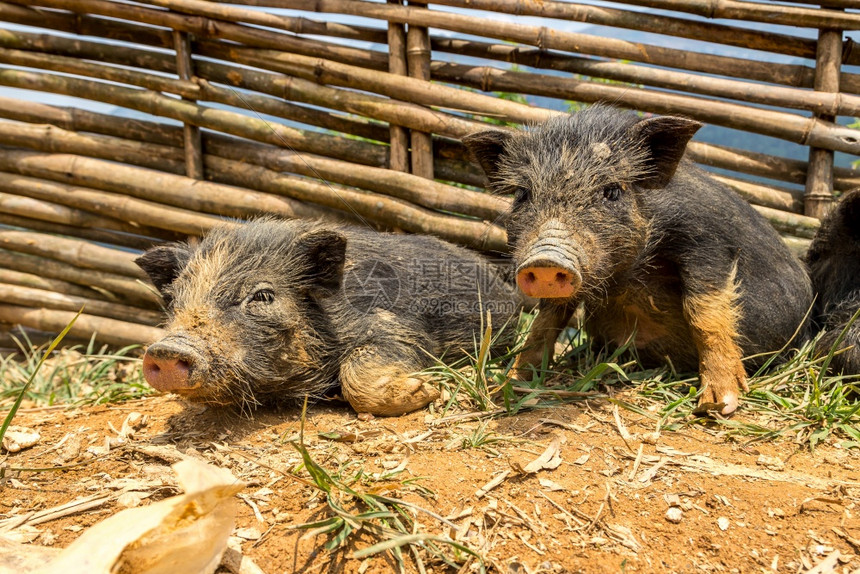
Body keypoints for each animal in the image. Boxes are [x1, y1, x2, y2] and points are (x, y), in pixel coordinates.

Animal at [466, 106, 808, 416]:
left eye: (612, 191)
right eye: (523, 194)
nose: (547, 259)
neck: (625, 276)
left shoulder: (707, 240)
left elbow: (704, 313)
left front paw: (718, 405)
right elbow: (545, 323)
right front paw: (508, 386)